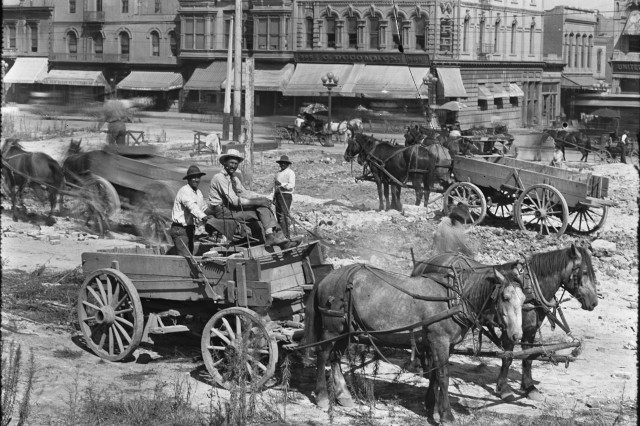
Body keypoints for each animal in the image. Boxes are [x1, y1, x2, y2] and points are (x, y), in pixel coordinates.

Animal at [302, 262, 524, 422]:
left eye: (523, 299)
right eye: (505, 297)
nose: (516, 336)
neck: (454, 298)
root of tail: (326, 278)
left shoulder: (443, 344)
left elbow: (435, 375)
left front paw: (432, 407)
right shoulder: (439, 341)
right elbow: (443, 377)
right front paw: (446, 415)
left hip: (346, 330)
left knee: (335, 358)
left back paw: (343, 395)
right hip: (332, 328)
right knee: (323, 356)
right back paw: (322, 396)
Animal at [412, 243, 596, 402]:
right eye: (585, 272)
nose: (594, 302)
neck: (530, 288)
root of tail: (424, 263)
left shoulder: (529, 330)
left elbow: (528, 357)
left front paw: (530, 387)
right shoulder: (510, 330)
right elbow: (508, 358)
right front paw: (504, 389)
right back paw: (423, 367)